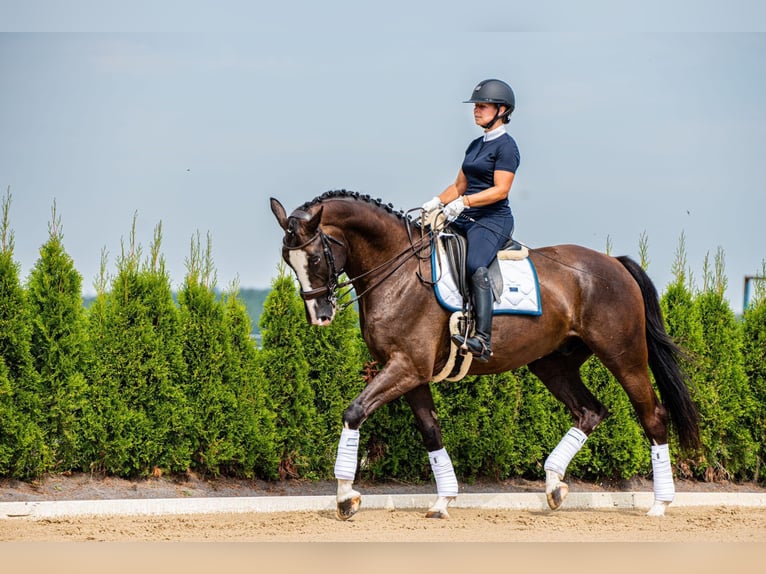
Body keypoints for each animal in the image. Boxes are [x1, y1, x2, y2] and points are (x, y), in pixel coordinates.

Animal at [270, 190, 704, 520]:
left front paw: (346, 497)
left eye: (314, 257)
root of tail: (614, 263)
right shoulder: (411, 373)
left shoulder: (406, 367)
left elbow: (354, 411)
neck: (399, 271)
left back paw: (659, 505)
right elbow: (431, 431)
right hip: (553, 363)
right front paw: (443, 501)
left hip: (623, 355)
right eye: (288, 260)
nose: (320, 315)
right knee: (590, 411)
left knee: (652, 415)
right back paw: (554, 486)